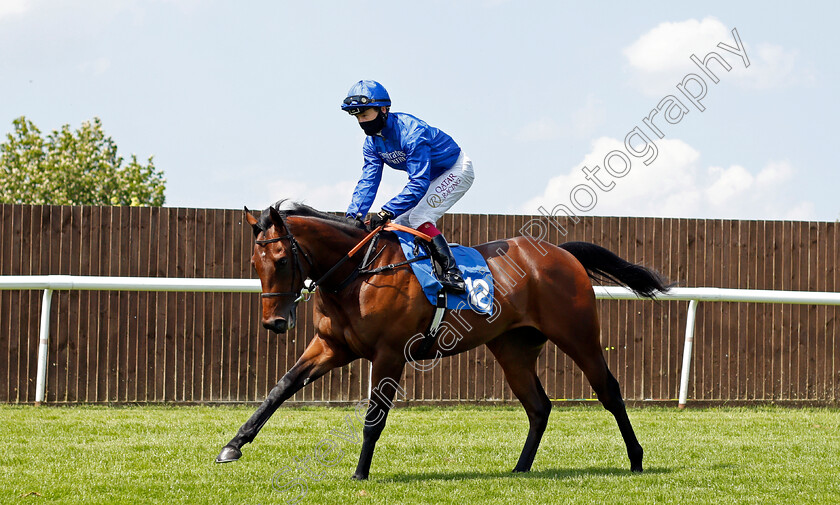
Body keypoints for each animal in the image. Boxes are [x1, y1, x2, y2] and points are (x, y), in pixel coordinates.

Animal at [215, 199, 668, 478]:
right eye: (254, 262)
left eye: (280, 259)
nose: (275, 322)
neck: (358, 272)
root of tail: (561, 252)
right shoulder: (331, 347)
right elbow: (280, 388)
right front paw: (234, 444)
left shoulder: (389, 354)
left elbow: (373, 418)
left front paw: (360, 473)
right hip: (513, 350)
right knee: (539, 406)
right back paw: (520, 468)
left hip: (578, 336)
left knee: (609, 390)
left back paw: (636, 458)